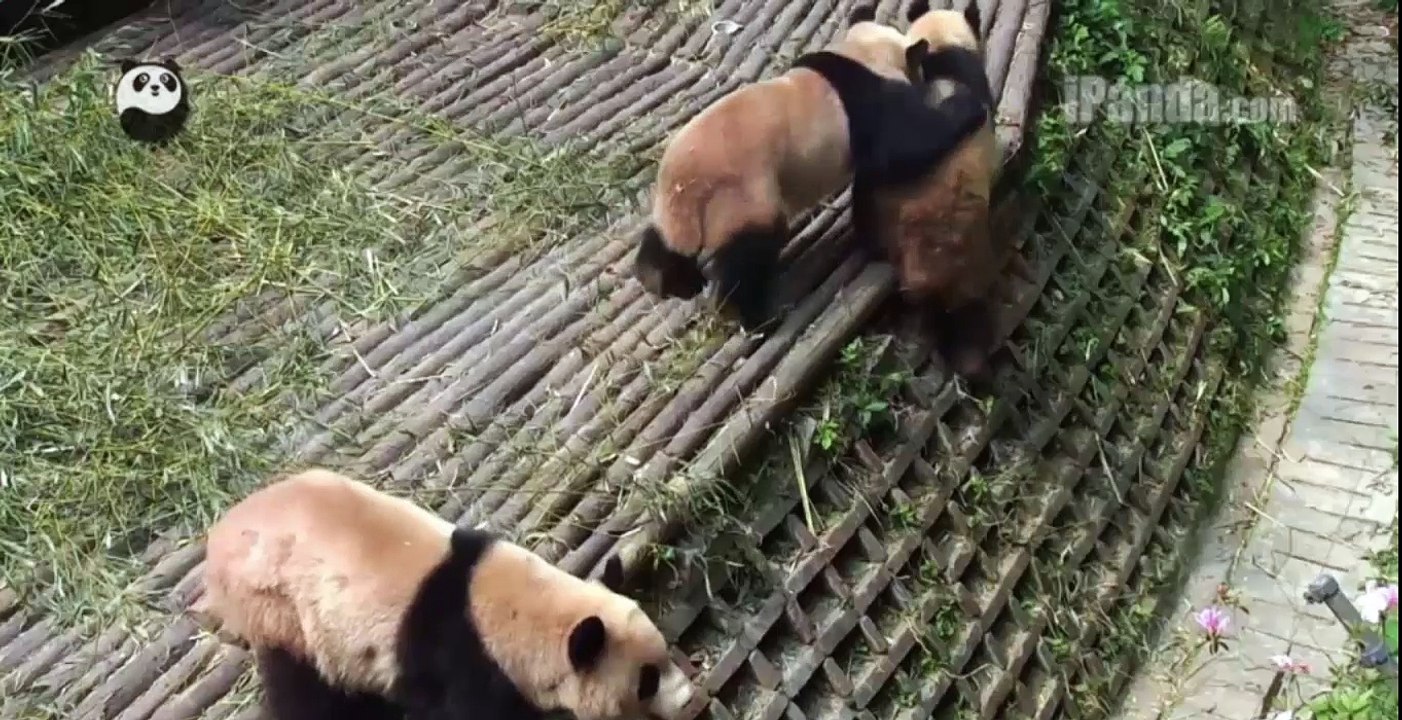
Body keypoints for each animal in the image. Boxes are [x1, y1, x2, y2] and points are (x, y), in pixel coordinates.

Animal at [193, 469, 696, 720]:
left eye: (665, 653)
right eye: (646, 680)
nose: (688, 698)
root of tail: (215, 541)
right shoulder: (461, 661)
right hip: (281, 610)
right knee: (306, 689)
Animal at [632, 9, 990, 332]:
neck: (862, 52)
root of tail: (685, 183)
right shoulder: (869, 102)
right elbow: (904, 145)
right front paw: (967, 107)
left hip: (678, 203)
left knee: (667, 241)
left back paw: (663, 278)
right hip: (741, 191)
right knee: (750, 250)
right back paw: (753, 315)